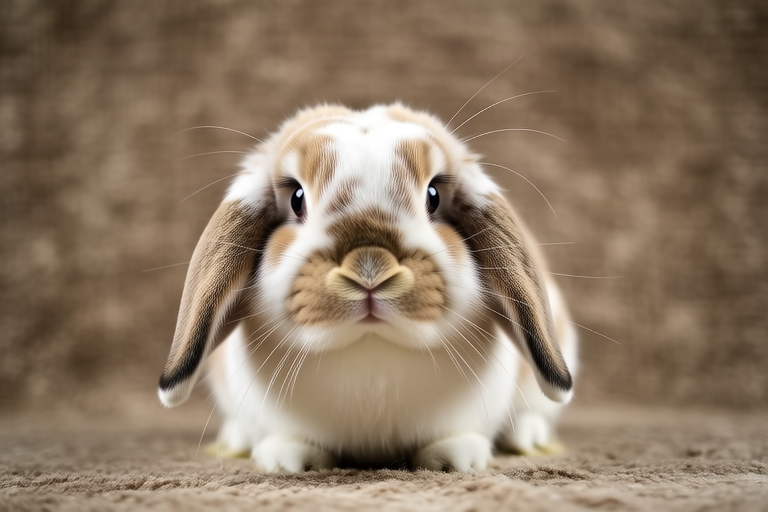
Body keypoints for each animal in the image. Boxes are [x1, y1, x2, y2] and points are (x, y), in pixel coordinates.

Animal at [158, 103, 577, 473]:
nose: (370, 266)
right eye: (296, 198)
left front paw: (454, 459)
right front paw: (289, 461)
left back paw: (528, 437)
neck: (370, 349)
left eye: (433, 195)